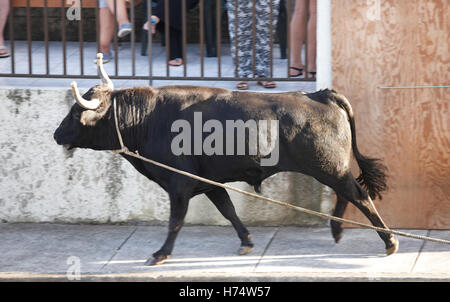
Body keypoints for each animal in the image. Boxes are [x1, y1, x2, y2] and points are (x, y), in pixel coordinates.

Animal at [54, 84, 400, 264]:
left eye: (74, 112)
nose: (56, 135)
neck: (148, 118)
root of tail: (319, 94)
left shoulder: (180, 184)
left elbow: (175, 220)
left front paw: (161, 253)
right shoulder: (209, 183)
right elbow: (228, 210)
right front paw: (246, 241)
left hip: (329, 168)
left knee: (359, 195)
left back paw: (389, 241)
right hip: (332, 169)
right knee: (348, 195)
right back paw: (338, 231)